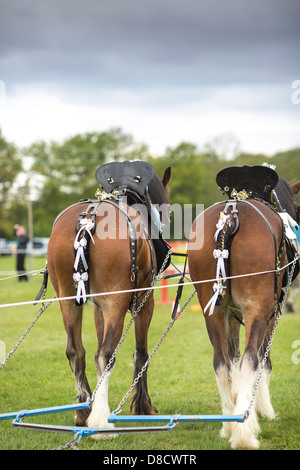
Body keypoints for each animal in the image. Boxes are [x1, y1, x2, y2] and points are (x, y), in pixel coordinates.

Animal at [47, 162, 171, 436]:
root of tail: (88, 218)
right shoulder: (144, 301)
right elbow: (141, 353)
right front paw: (143, 406)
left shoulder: (98, 307)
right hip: (116, 302)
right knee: (106, 354)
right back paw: (101, 419)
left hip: (68, 300)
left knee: (76, 351)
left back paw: (84, 410)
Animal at [189, 167, 298, 450]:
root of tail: (230, 215)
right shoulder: (270, 314)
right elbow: (262, 361)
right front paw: (263, 409)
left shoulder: (229, 314)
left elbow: (234, 358)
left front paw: (241, 398)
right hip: (257, 310)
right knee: (251, 359)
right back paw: (243, 432)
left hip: (213, 312)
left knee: (221, 362)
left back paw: (229, 423)